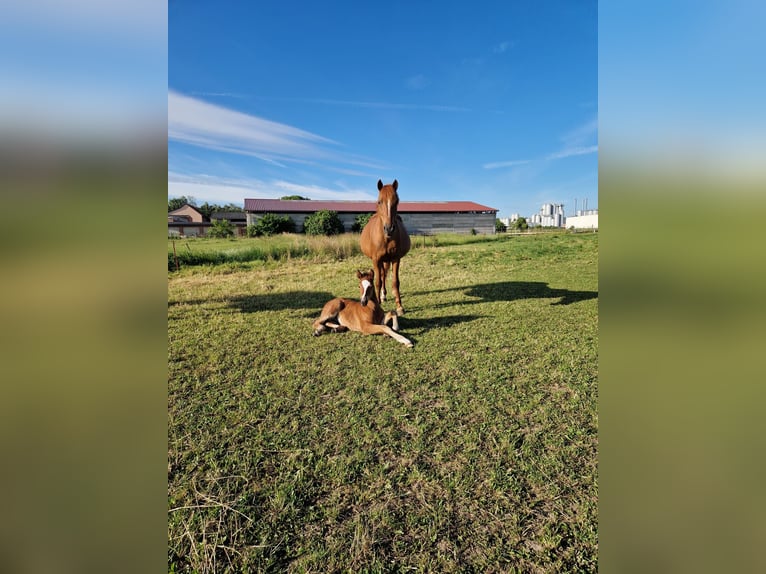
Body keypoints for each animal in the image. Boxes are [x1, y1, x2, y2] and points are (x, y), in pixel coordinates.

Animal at [362, 179, 414, 316]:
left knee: (384, 274)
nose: (389, 229)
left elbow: (395, 282)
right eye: (379, 201)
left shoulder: (396, 259)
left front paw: (399, 306)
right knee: (381, 276)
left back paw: (384, 295)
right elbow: (377, 281)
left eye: (397, 201)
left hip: (386, 260)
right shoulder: (376, 260)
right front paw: (378, 303)